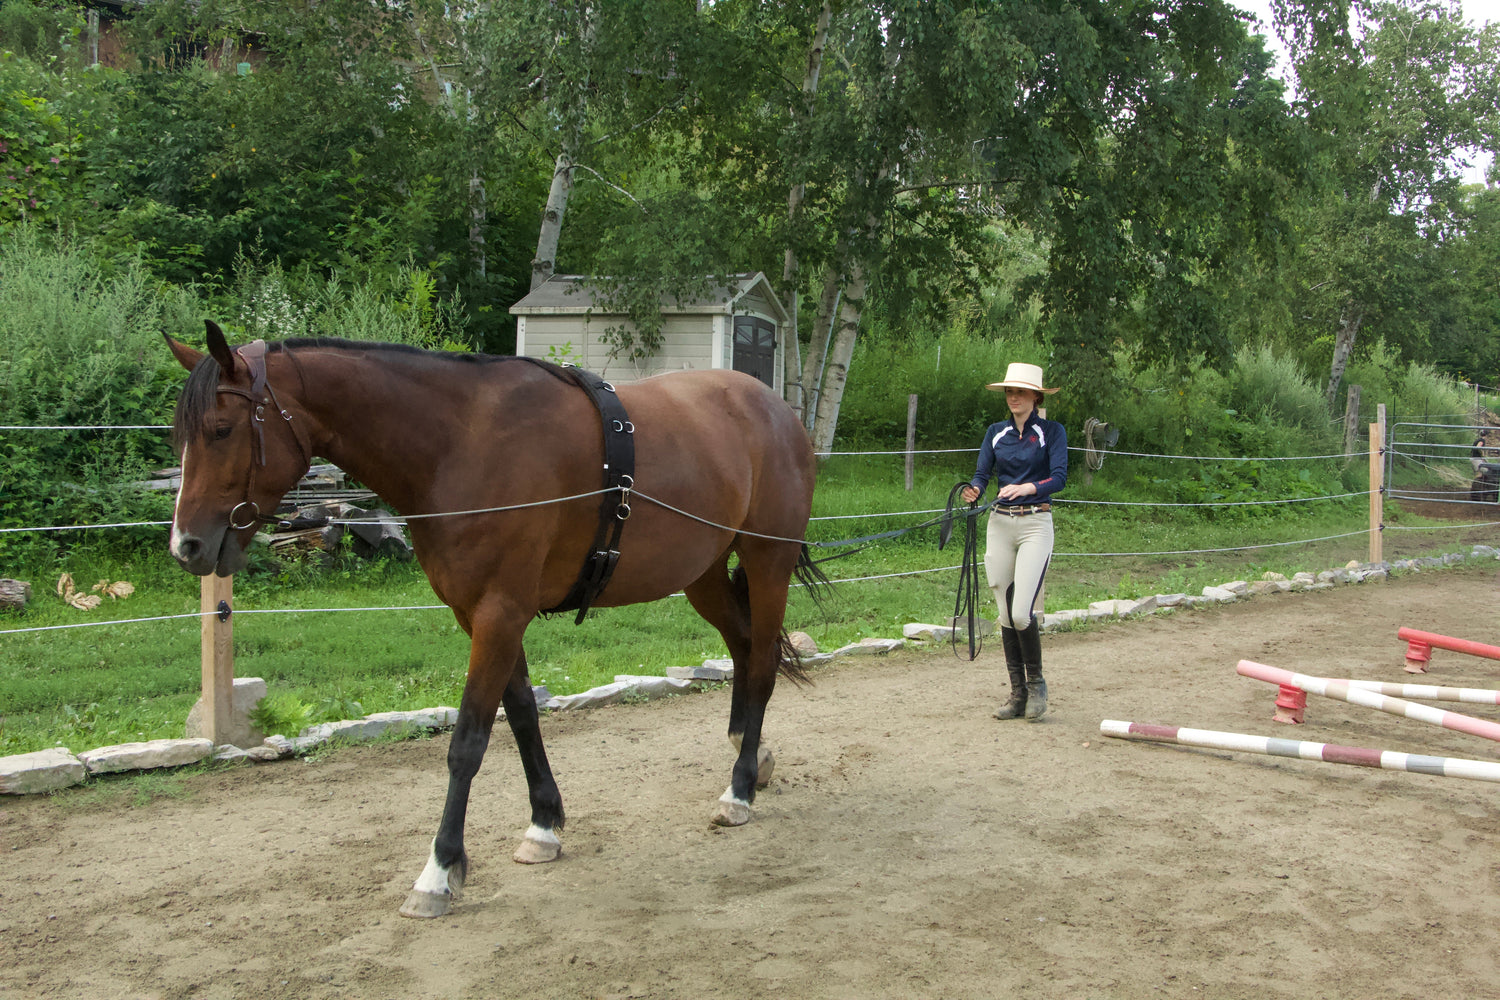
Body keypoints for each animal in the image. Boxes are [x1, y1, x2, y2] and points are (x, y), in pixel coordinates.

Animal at [170, 320, 828, 917]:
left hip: (766, 561)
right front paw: (544, 824)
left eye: (221, 430)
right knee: (743, 647)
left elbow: (468, 742)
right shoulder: (479, 615)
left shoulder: (500, 614)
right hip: (703, 573)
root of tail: (777, 410)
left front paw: (439, 871)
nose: (187, 546)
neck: (460, 444)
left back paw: (739, 789)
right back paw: (752, 756)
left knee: (761, 664)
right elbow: (523, 717)